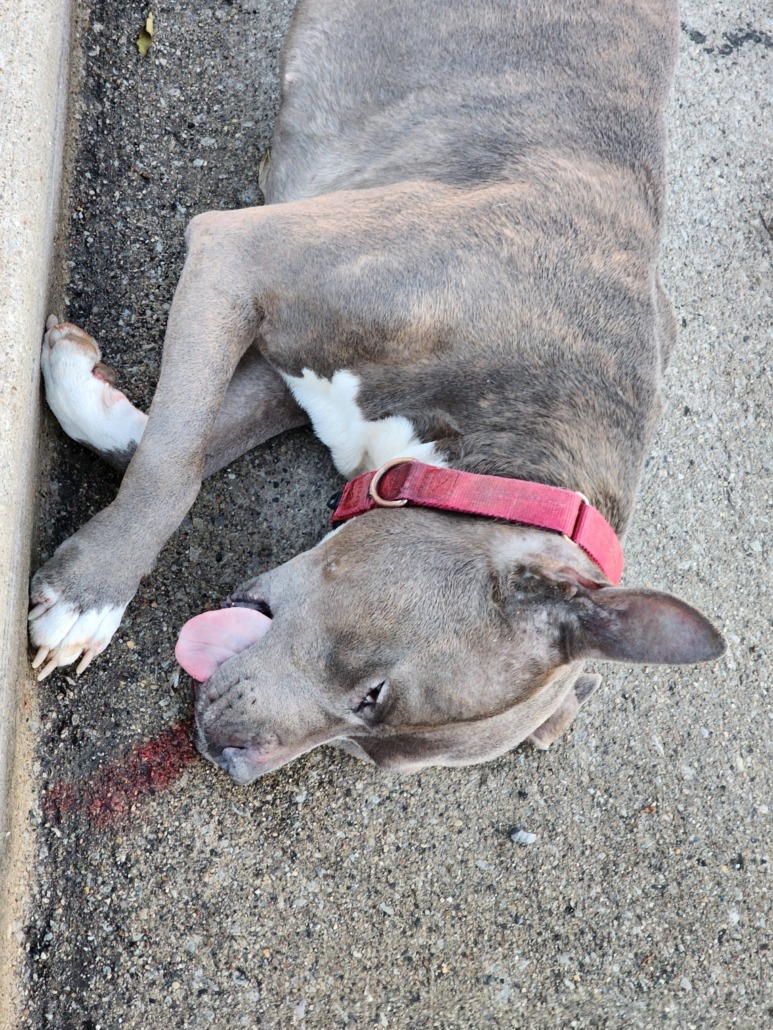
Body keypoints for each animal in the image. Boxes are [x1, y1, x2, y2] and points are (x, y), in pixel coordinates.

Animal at [30, 0, 724, 784]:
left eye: (373, 749)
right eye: (375, 694)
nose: (230, 762)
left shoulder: (302, 375)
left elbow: (152, 446)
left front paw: (76, 380)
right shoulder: (238, 259)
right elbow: (170, 468)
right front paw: (90, 598)